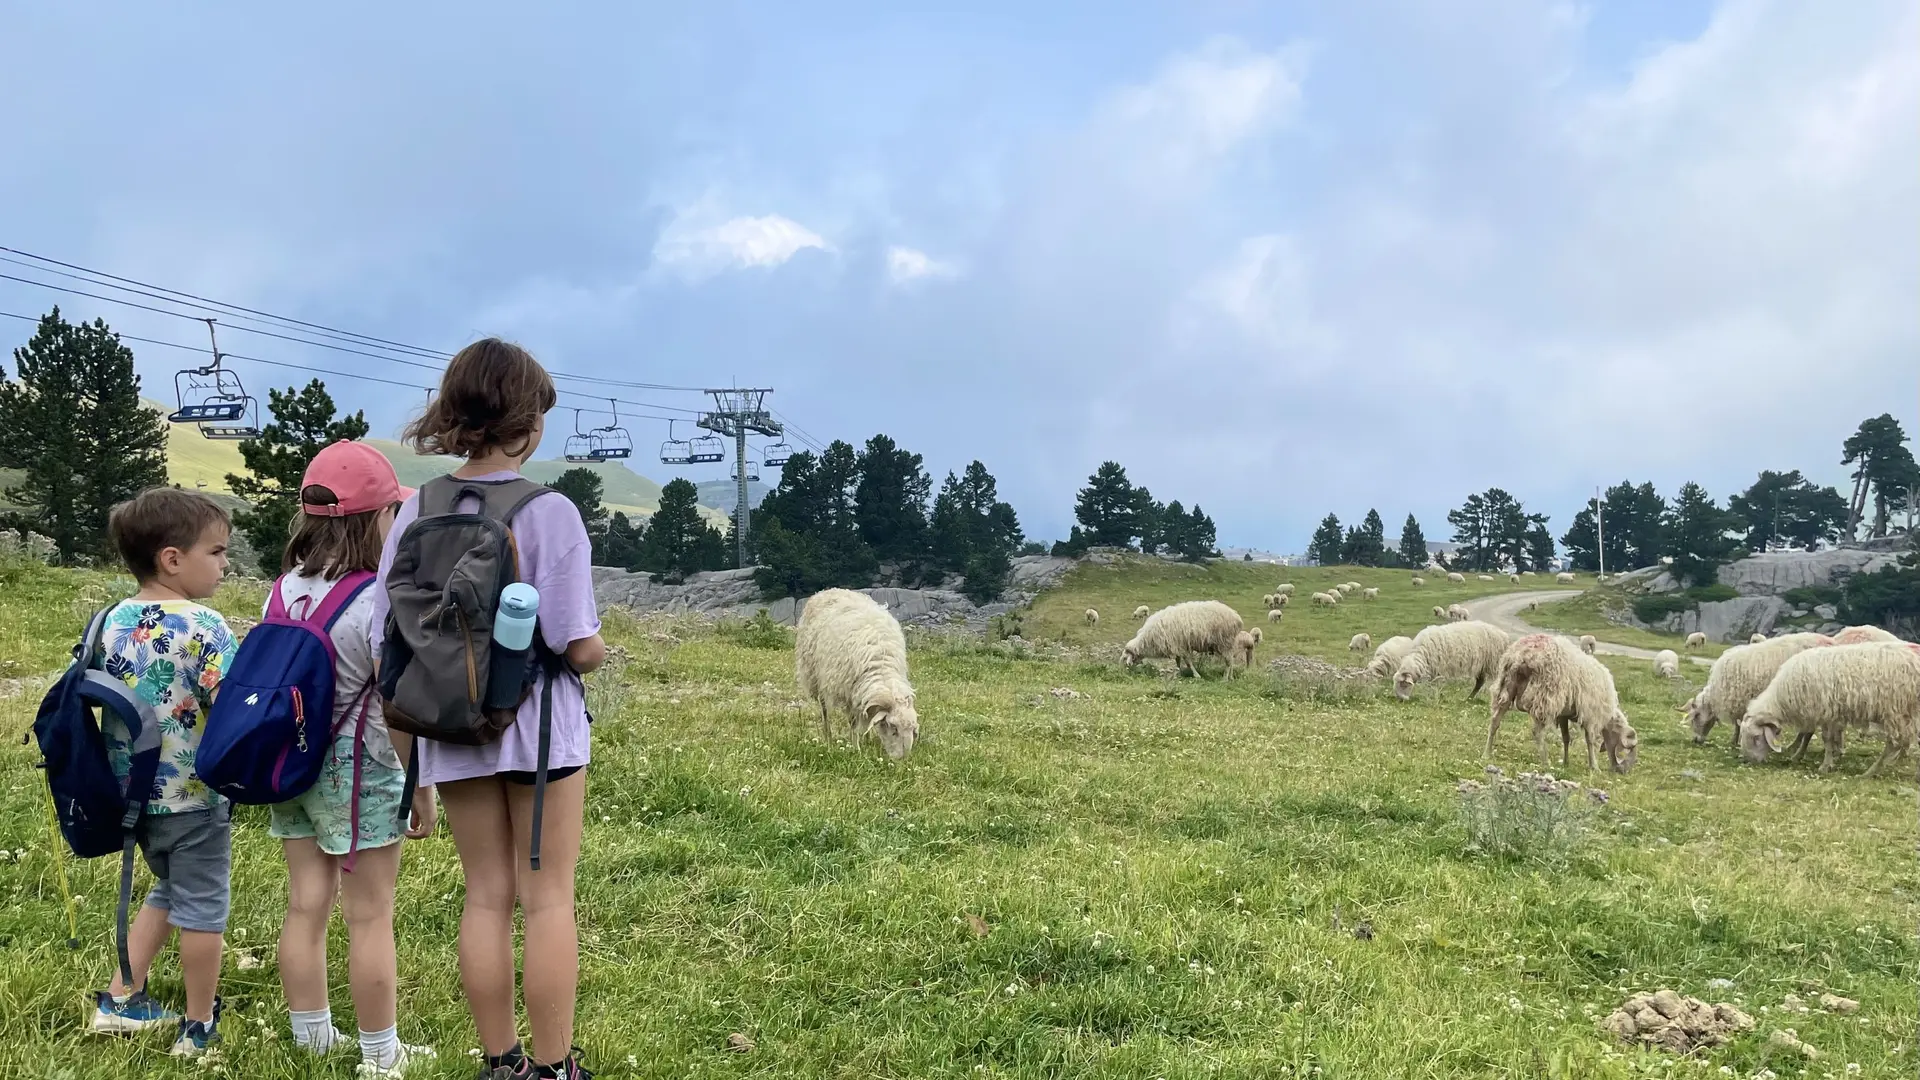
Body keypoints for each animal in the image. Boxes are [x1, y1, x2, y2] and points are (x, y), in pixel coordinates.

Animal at [791, 588, 917, 757]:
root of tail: (828, 590)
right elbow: (853, 722)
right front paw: (855, 748)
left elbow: (867, 716)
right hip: (815, 675)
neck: (880, 663)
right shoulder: (848, 691)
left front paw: (866, 740)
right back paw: (828, 737)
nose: (902, 758)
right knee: (824, 710)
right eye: (894, 728)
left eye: (912, 729)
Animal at [1121, 591, 1251, 676]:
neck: (1148, 639)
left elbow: (1188, 662)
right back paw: (1231, 678)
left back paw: (1224, 679)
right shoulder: (1176, 646)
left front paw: (1196, 675)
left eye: (1125, 659)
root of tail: (1236, 617)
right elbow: (1178, 661)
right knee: (1231, 661)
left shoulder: (1181, 646)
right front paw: (1179, 672)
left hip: (1224, 642)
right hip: (1228, 643)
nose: (1124, 672)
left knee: (1228, 662)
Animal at [1482, 630, 1635, 772]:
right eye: (1629, 747)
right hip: (1545, 696)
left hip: (1506, 686)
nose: (1623, 771)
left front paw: (1566, 762)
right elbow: (1590, 740)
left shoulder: (1563, 714)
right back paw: (1545, 762)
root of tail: (1522, 654)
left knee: (1495, 721)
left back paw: (1487, 753)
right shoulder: (1590, 714)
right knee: (1537, 732)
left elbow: (1566, 738)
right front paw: (1594, 766)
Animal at [1681, 626, 1827, 745]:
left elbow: (1738, 723)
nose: (1695, 740)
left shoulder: (1741, 699)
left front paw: (1735, 741)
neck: (1717, 693)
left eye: (1695, 718)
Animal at [1743, 638, 1920, 772]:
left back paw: (1871, 771)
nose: (1748, 761)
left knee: (1895, 742)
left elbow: (1826, 738)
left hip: (1895, 711)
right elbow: (1829, 736)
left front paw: (1825, 765)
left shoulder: (1825, 711)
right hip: (1907, 712)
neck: (1782, 696)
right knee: (1907, 739)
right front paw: (1833, 756)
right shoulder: (1830, 712)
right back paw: (1895, 761)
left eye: (1756, 737)